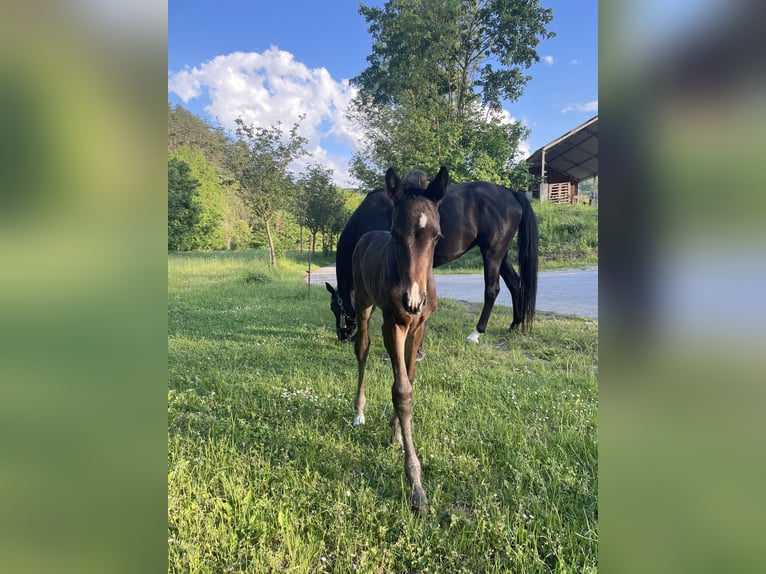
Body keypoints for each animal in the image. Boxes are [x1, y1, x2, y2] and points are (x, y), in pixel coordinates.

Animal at [326, 172, 540, 346]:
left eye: (335, 308)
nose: (343, 336)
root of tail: (510, 193)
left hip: (492, 253)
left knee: (492, 290)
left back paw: (476, 333)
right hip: (500, 254)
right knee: (515, 283)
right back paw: (515, 324)